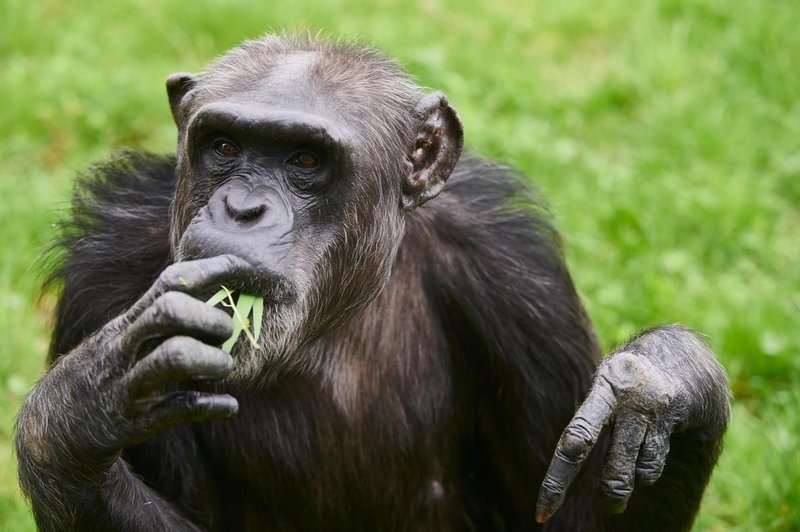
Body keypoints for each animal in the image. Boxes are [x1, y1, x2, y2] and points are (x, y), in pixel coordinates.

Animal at [15, 34, 728, 532]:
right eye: (223, 147)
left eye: (305, 159)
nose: (243, 208)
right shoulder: (101, 277)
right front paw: (78, 412)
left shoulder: (518, 273)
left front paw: (663, 380)